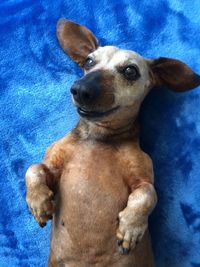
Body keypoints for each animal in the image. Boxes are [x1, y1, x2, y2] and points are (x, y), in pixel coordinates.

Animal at [25, 19, 200, 267]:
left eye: (130, 71)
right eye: (89, 61)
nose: (81, 89)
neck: (98, 139)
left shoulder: (143, 177)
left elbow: (147, 194)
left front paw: (130, 227)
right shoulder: (53, 167)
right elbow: (34, 168)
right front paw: (38, 202)